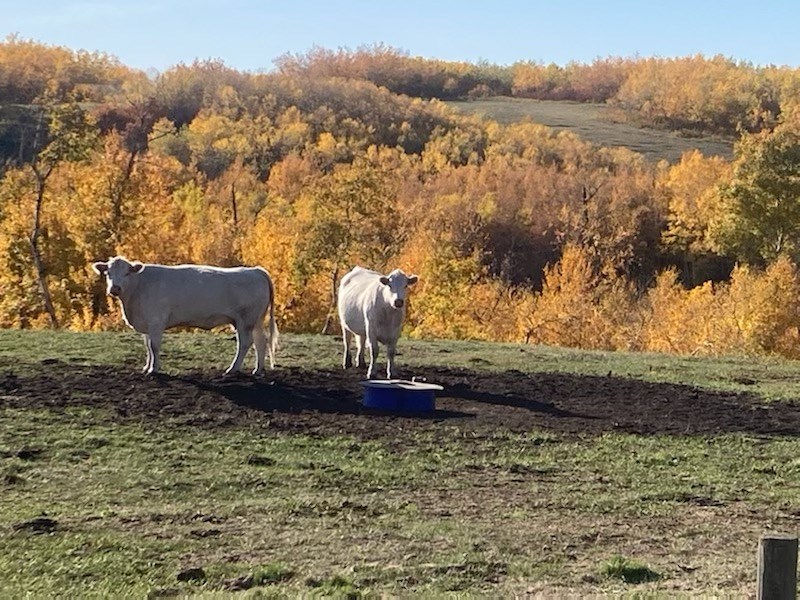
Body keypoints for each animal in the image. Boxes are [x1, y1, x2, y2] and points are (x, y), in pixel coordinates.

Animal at [89, 256, 278, 376]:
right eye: (108, 273)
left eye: (127, 273)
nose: (115, 288)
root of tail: (256, 270)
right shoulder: (147, 324)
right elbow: (148, 347)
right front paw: (146, 367)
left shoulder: (156, 321)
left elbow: (154, 346)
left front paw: (154, 369)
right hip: (256, 320)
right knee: (260, 341)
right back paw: (258, 370)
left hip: (245, 320)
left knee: (245, 343)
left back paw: (232, 369)